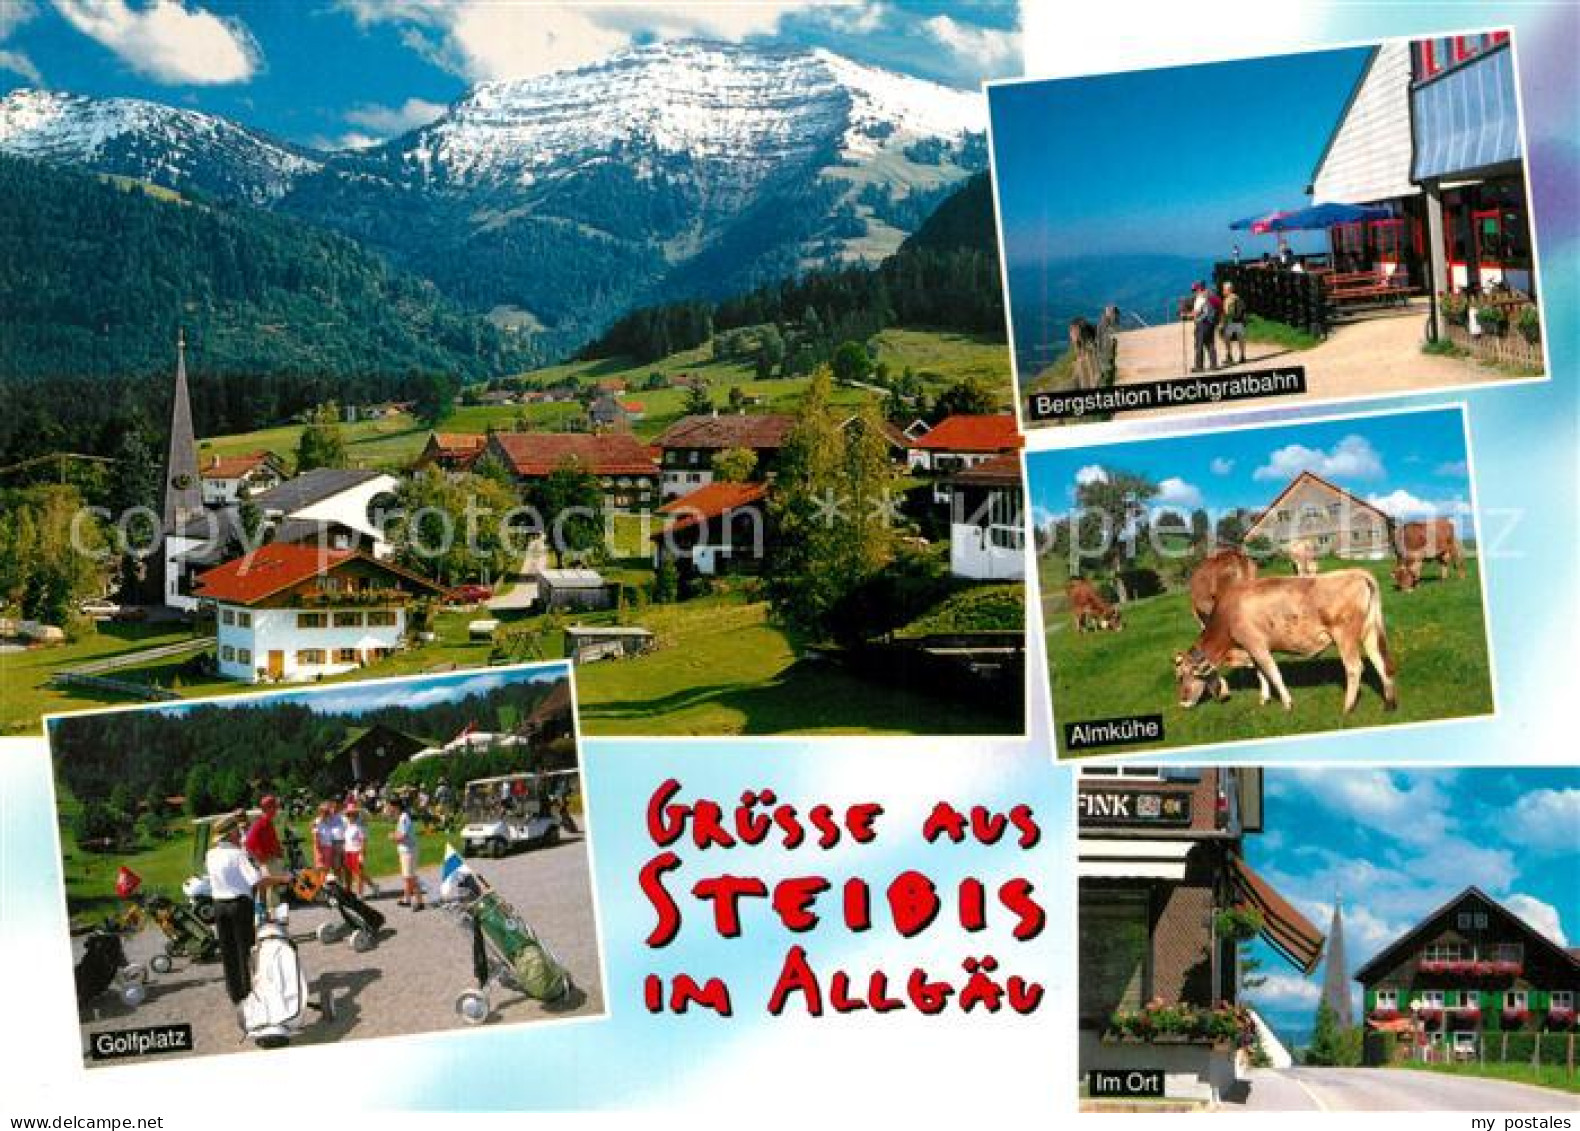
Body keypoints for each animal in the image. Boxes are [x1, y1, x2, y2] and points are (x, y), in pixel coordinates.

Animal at [1175, 568, 1396, 710]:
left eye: (1182, 676)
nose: (1182, 702)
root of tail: (1357, 572)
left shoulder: (1256, 645)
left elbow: (1273, 673)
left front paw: (1287, 703)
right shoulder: (1252, 649)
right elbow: (1261, 674)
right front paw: (1264, 699)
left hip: (1344, 635)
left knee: (1354, 668)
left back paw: (1347, 708)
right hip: (1370, 631)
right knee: (1380, 661)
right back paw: (1390, 703)